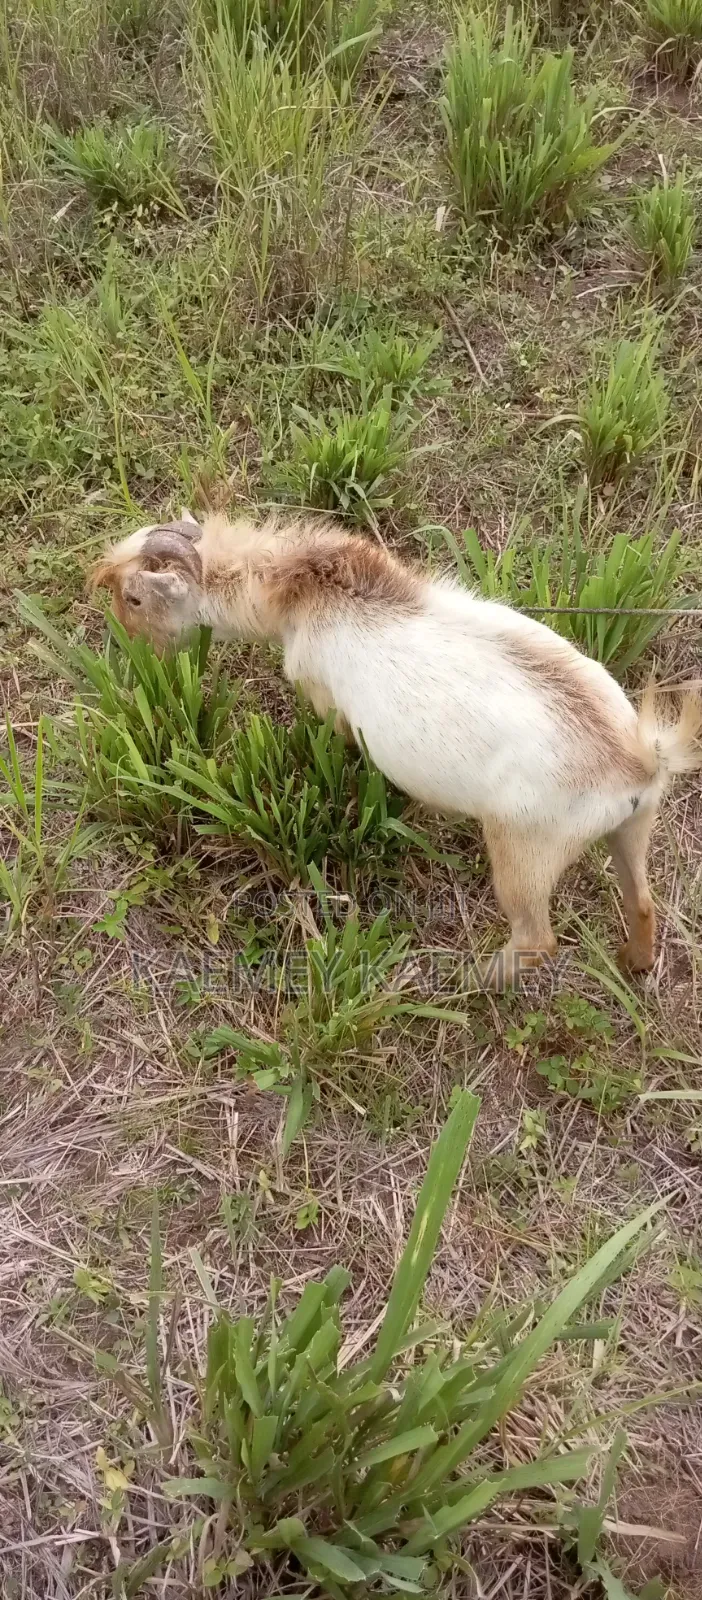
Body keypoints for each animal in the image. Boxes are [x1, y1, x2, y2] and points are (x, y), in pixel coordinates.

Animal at [90, 511, 701, 986]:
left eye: (134, 596)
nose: (127, 644)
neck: (302, 589)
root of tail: (637, 760)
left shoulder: (325, 696)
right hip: (633, 826)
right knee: (642, 899)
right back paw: (634, 962)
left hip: (525, 848)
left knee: (536, 938)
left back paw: (470, 980)